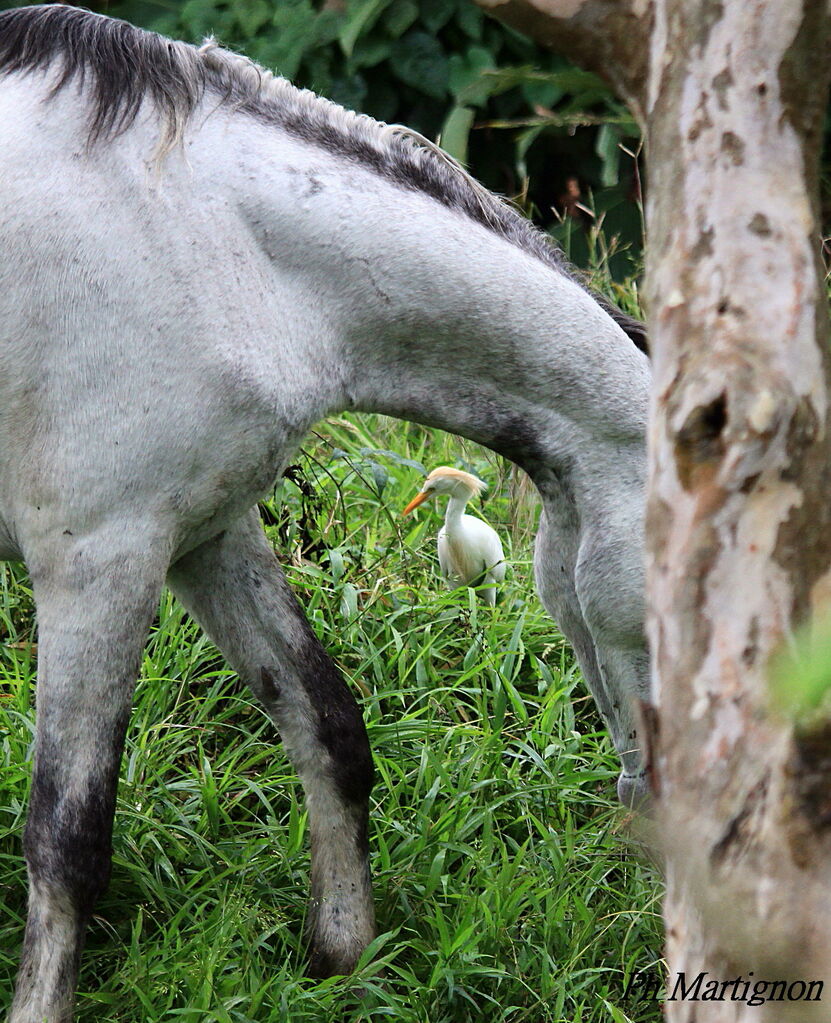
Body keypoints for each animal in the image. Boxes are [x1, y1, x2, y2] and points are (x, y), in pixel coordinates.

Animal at [0, 6, 650, 1014]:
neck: (210, 237)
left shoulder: (206, 535)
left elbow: (328, 724)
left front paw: (341, 956)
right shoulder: (97, 563)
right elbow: (65, 840)